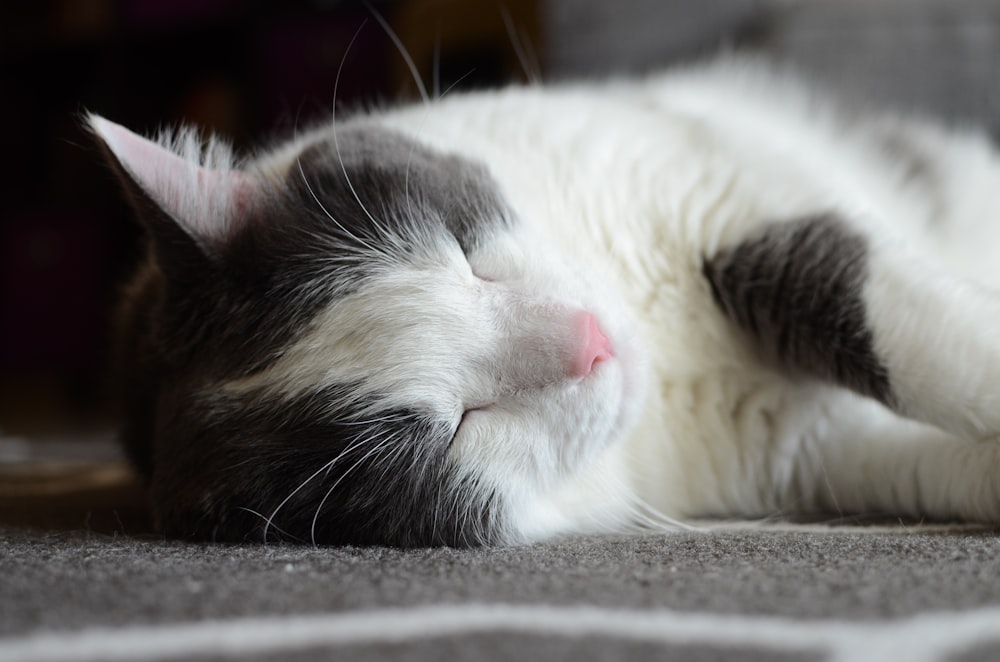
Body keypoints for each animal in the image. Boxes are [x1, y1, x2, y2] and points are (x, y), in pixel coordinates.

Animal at [88, 54, 1000, 548]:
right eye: (461, 425)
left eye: (463, 253)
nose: (591, 339)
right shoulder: (809, 447)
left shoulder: (721, 193)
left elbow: (912, 333)